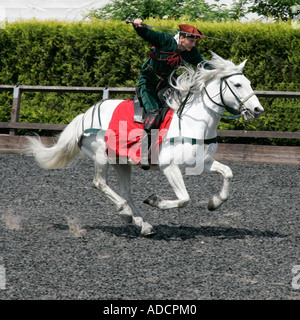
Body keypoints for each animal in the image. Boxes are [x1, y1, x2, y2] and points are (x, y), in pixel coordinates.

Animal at [27, 53, 264, 236]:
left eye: (249, 83)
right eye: (237, 84)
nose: (257, 110)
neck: (192, 122)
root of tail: (84, 116)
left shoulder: (202, 163)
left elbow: (228, 172)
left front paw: (215, 202)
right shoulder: (170, 168)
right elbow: (184, 199)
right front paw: (154, 200)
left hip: (120, 161)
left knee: (126, 192)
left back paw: (143, 224)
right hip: (101, 155)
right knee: (100, 183)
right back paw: (125, 212)